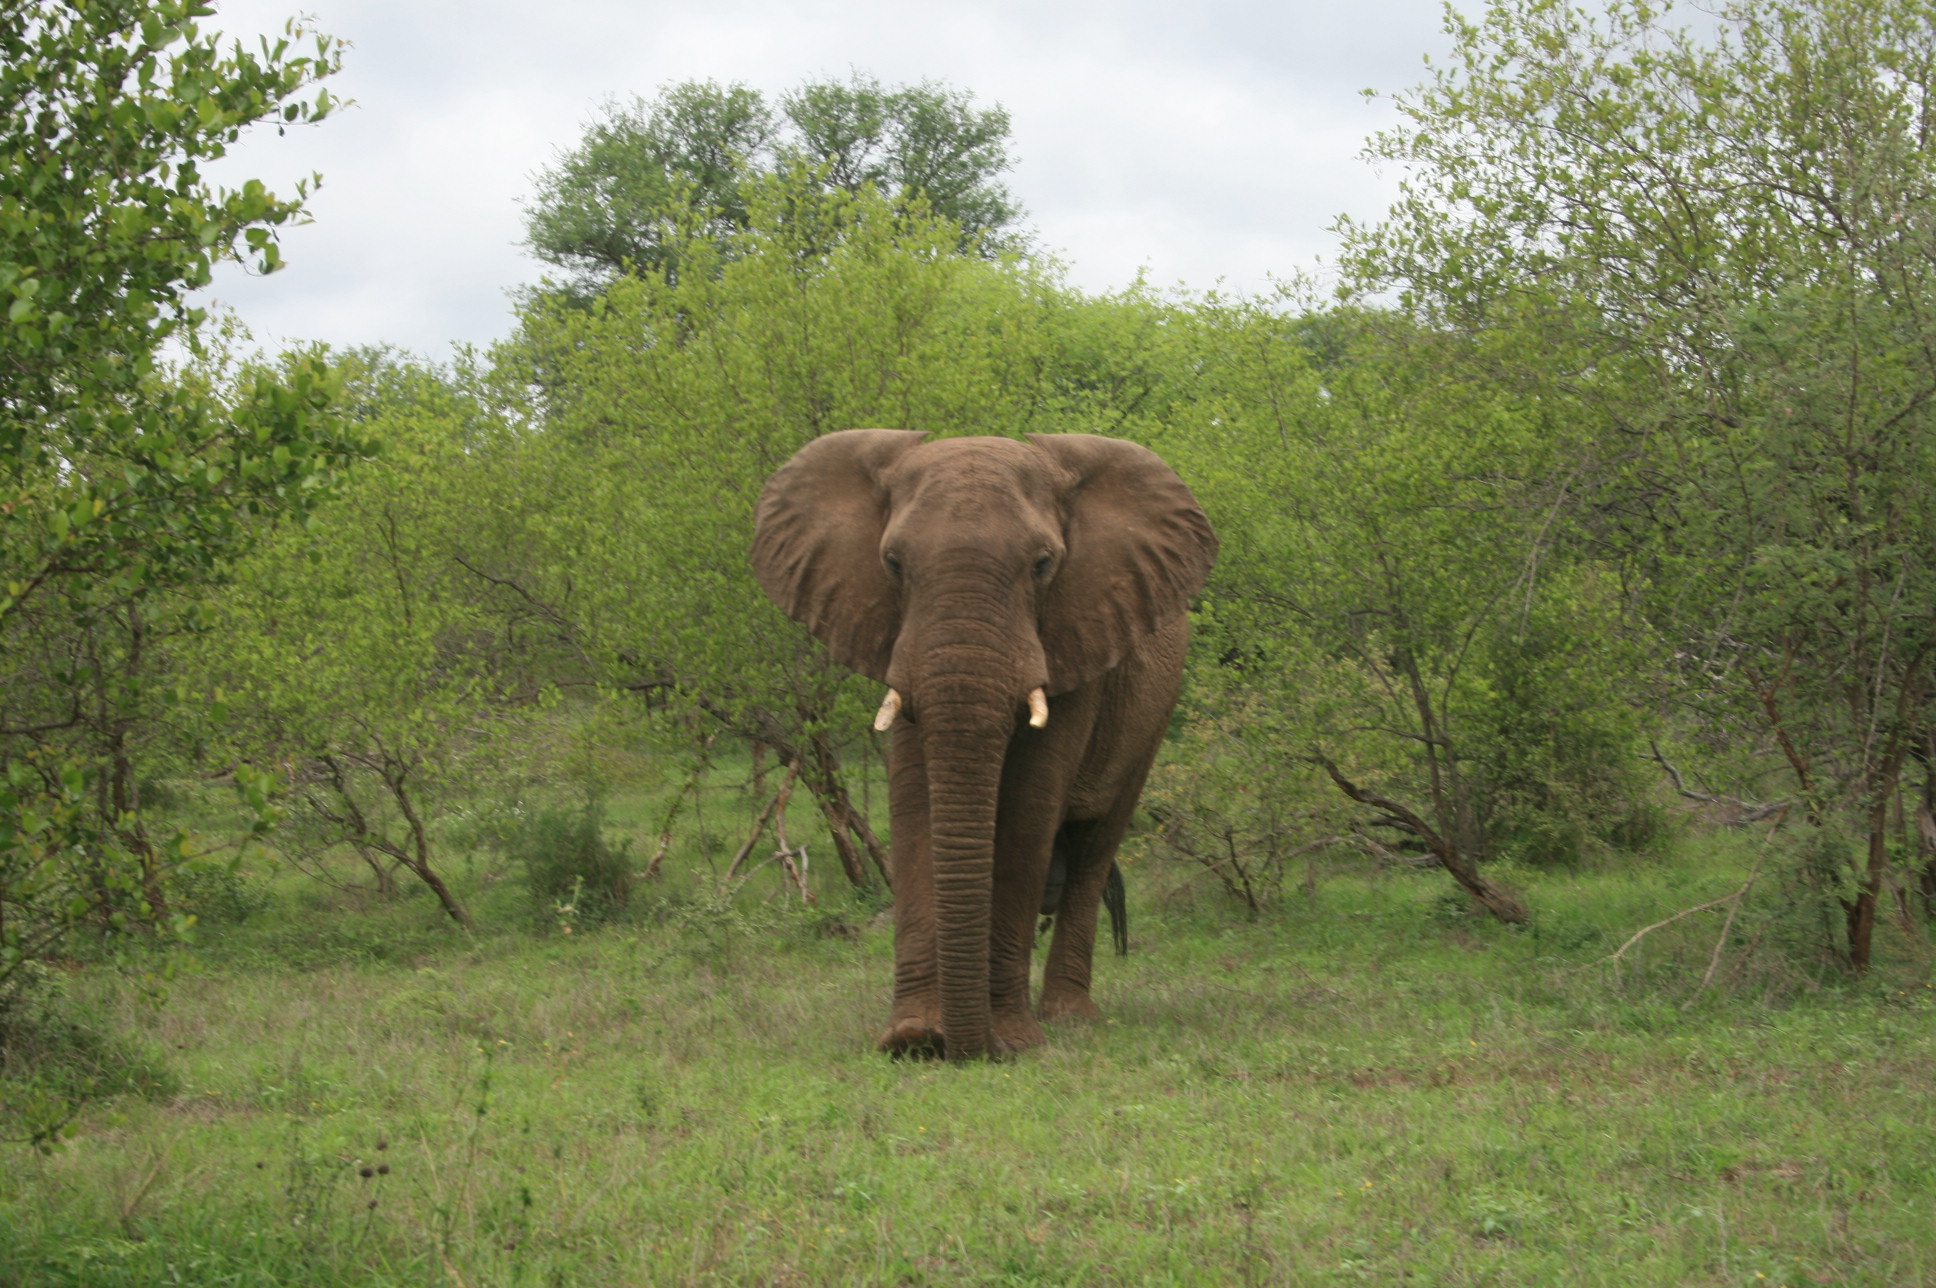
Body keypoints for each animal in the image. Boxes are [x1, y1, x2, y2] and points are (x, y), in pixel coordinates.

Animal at [751, 430, 1216, 1060]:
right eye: (892, 563)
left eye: (1043, 565)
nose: (975, 1048)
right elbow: (914, 803)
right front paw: (912, 1038)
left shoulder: (1076, 641)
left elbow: (1027, 808)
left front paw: (1014, 1040)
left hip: (1153, 714)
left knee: (1095, 847)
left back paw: (1070, 1019)